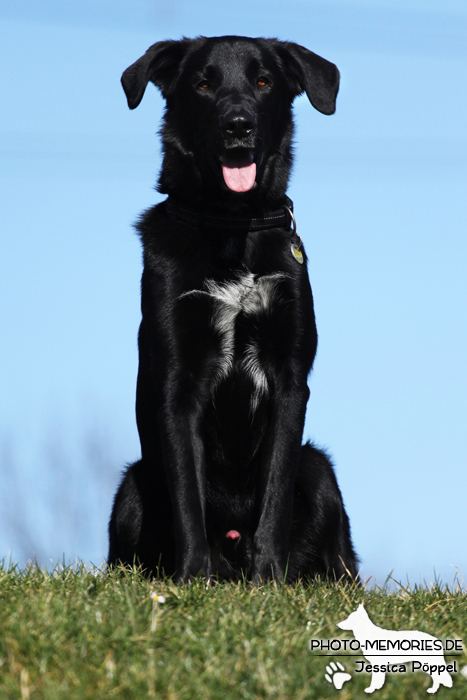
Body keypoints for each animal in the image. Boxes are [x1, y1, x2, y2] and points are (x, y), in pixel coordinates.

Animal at [109, 32, 358, 584]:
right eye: (203, 85)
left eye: (263, 81)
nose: (238, 125)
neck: (230, 224)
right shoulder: (179, 385)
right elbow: (188, 496)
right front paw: (192, 579)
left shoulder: (289, 379)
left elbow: (276, 490)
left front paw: (269, 580)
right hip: (134, 485)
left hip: (321, 472)